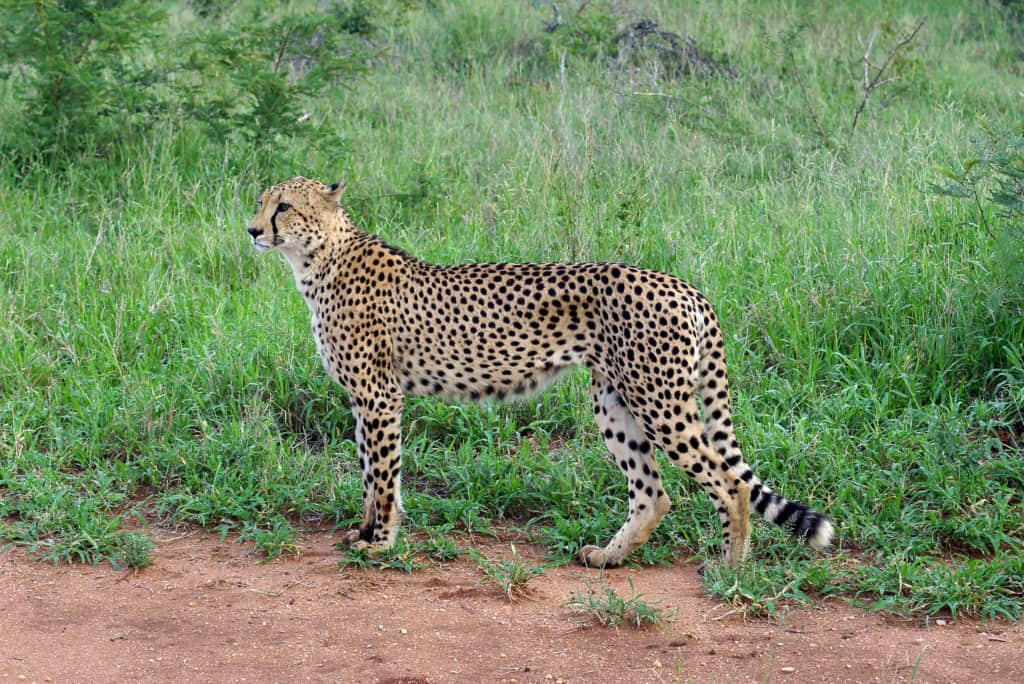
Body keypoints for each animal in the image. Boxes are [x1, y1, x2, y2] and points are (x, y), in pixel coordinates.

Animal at [245, 176, 831, 565]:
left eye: (284, 207)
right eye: (261, 202)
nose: (251, 230)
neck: (319, 258)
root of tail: (685, 285)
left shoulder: (378, 395)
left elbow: (383, 473)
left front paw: (381, 542)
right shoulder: (365, 398)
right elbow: (370, 470)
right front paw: (365, 532)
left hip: (659, 401)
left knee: (728, 483)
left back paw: (730, 567)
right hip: (615, 401)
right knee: (653, 491)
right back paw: (609, 557)